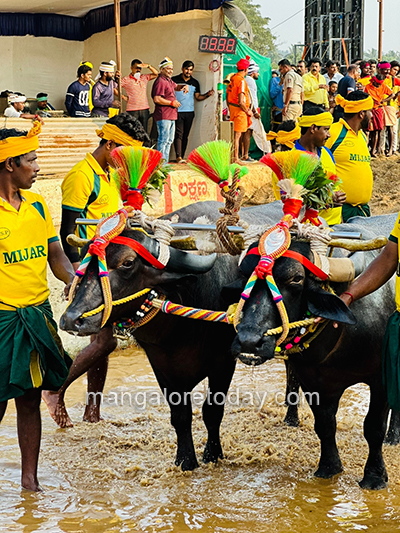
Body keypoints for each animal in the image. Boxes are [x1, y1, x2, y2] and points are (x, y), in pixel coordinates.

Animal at [231, 214, 396, 488]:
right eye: (244, 273)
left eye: (296, 278)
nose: (248, 341)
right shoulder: (313, 379)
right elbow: (325, 425)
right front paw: (329, 467)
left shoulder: (381, 379)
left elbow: (373, 427)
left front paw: (374, 476)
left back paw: (395, 436)